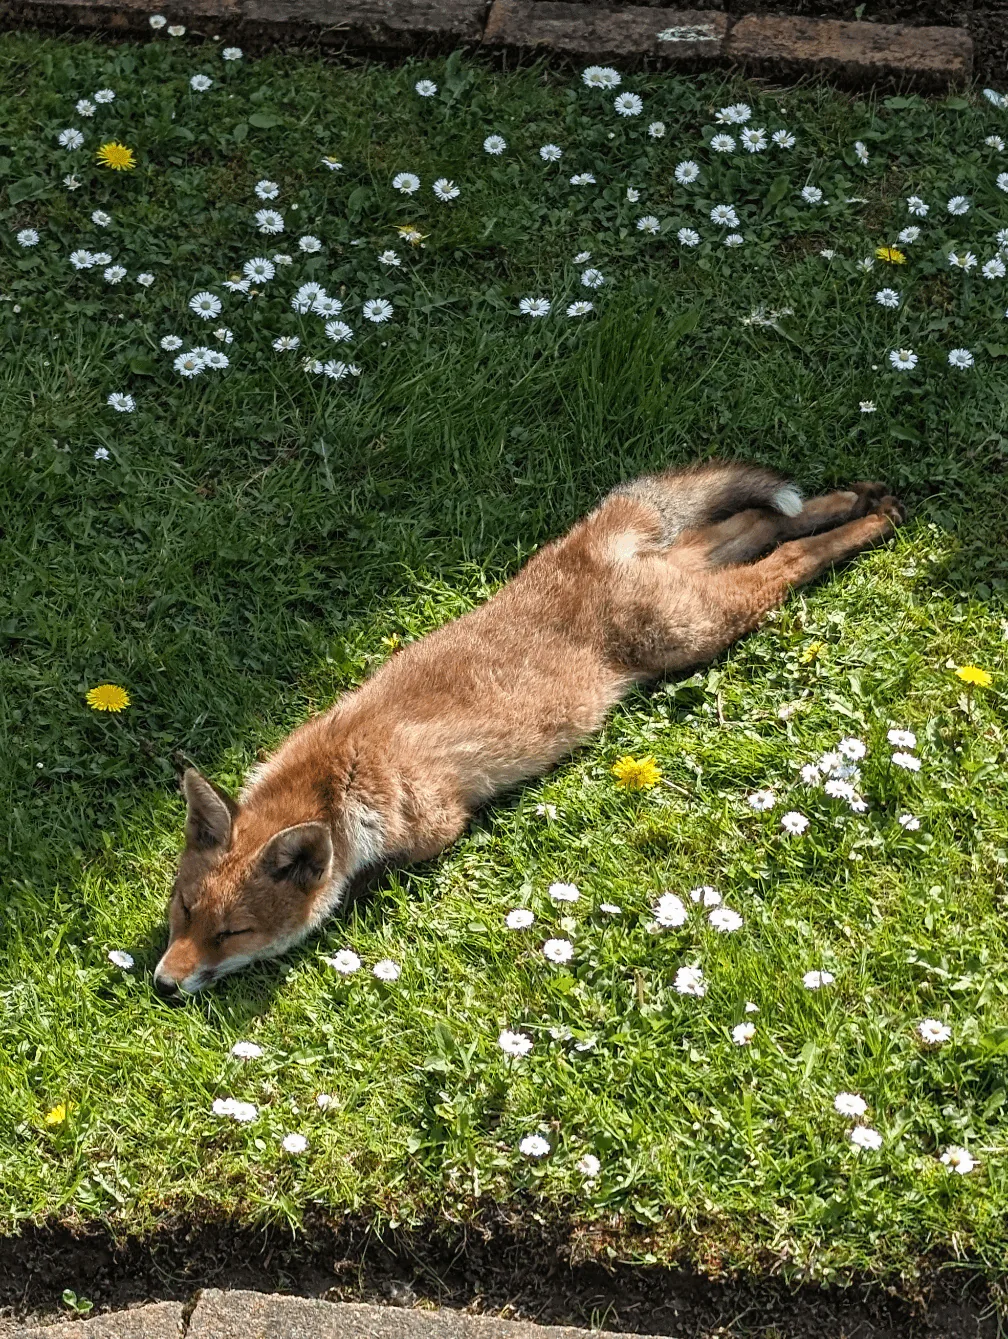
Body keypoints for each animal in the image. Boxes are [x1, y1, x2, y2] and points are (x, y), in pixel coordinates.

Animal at [154, 460, 905, 995]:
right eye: (184, 911)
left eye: (234, 932)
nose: (163, 985)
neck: (333, 776)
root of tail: (579, 552)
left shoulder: (436, 826)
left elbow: (365, 879)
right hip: (696, 579)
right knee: (757, 522)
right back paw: (849, 500)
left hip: (700, 629)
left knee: (788, 562)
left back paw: (868, 525)